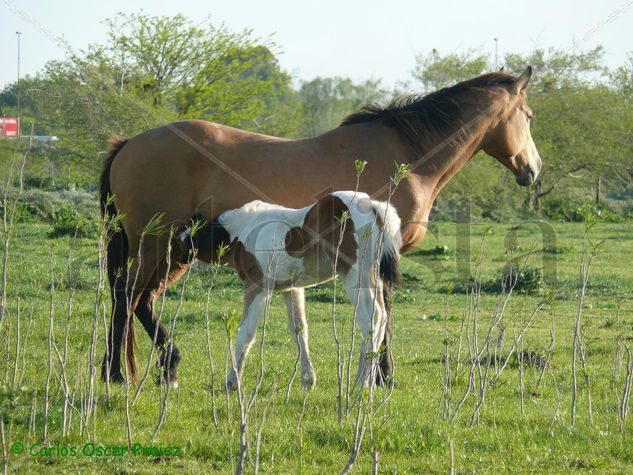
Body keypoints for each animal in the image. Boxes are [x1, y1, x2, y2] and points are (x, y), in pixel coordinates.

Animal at [100, 66, 544, 386]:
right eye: (528, 115)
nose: (533, 169)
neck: (407, 153)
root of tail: (129, 143)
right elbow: (384, 315)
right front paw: (383, 375)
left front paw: (377, 374)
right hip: (153, 244)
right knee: (126, 296)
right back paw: (116, 373)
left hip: (175, 251)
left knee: (143, 300)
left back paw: (167, 367)